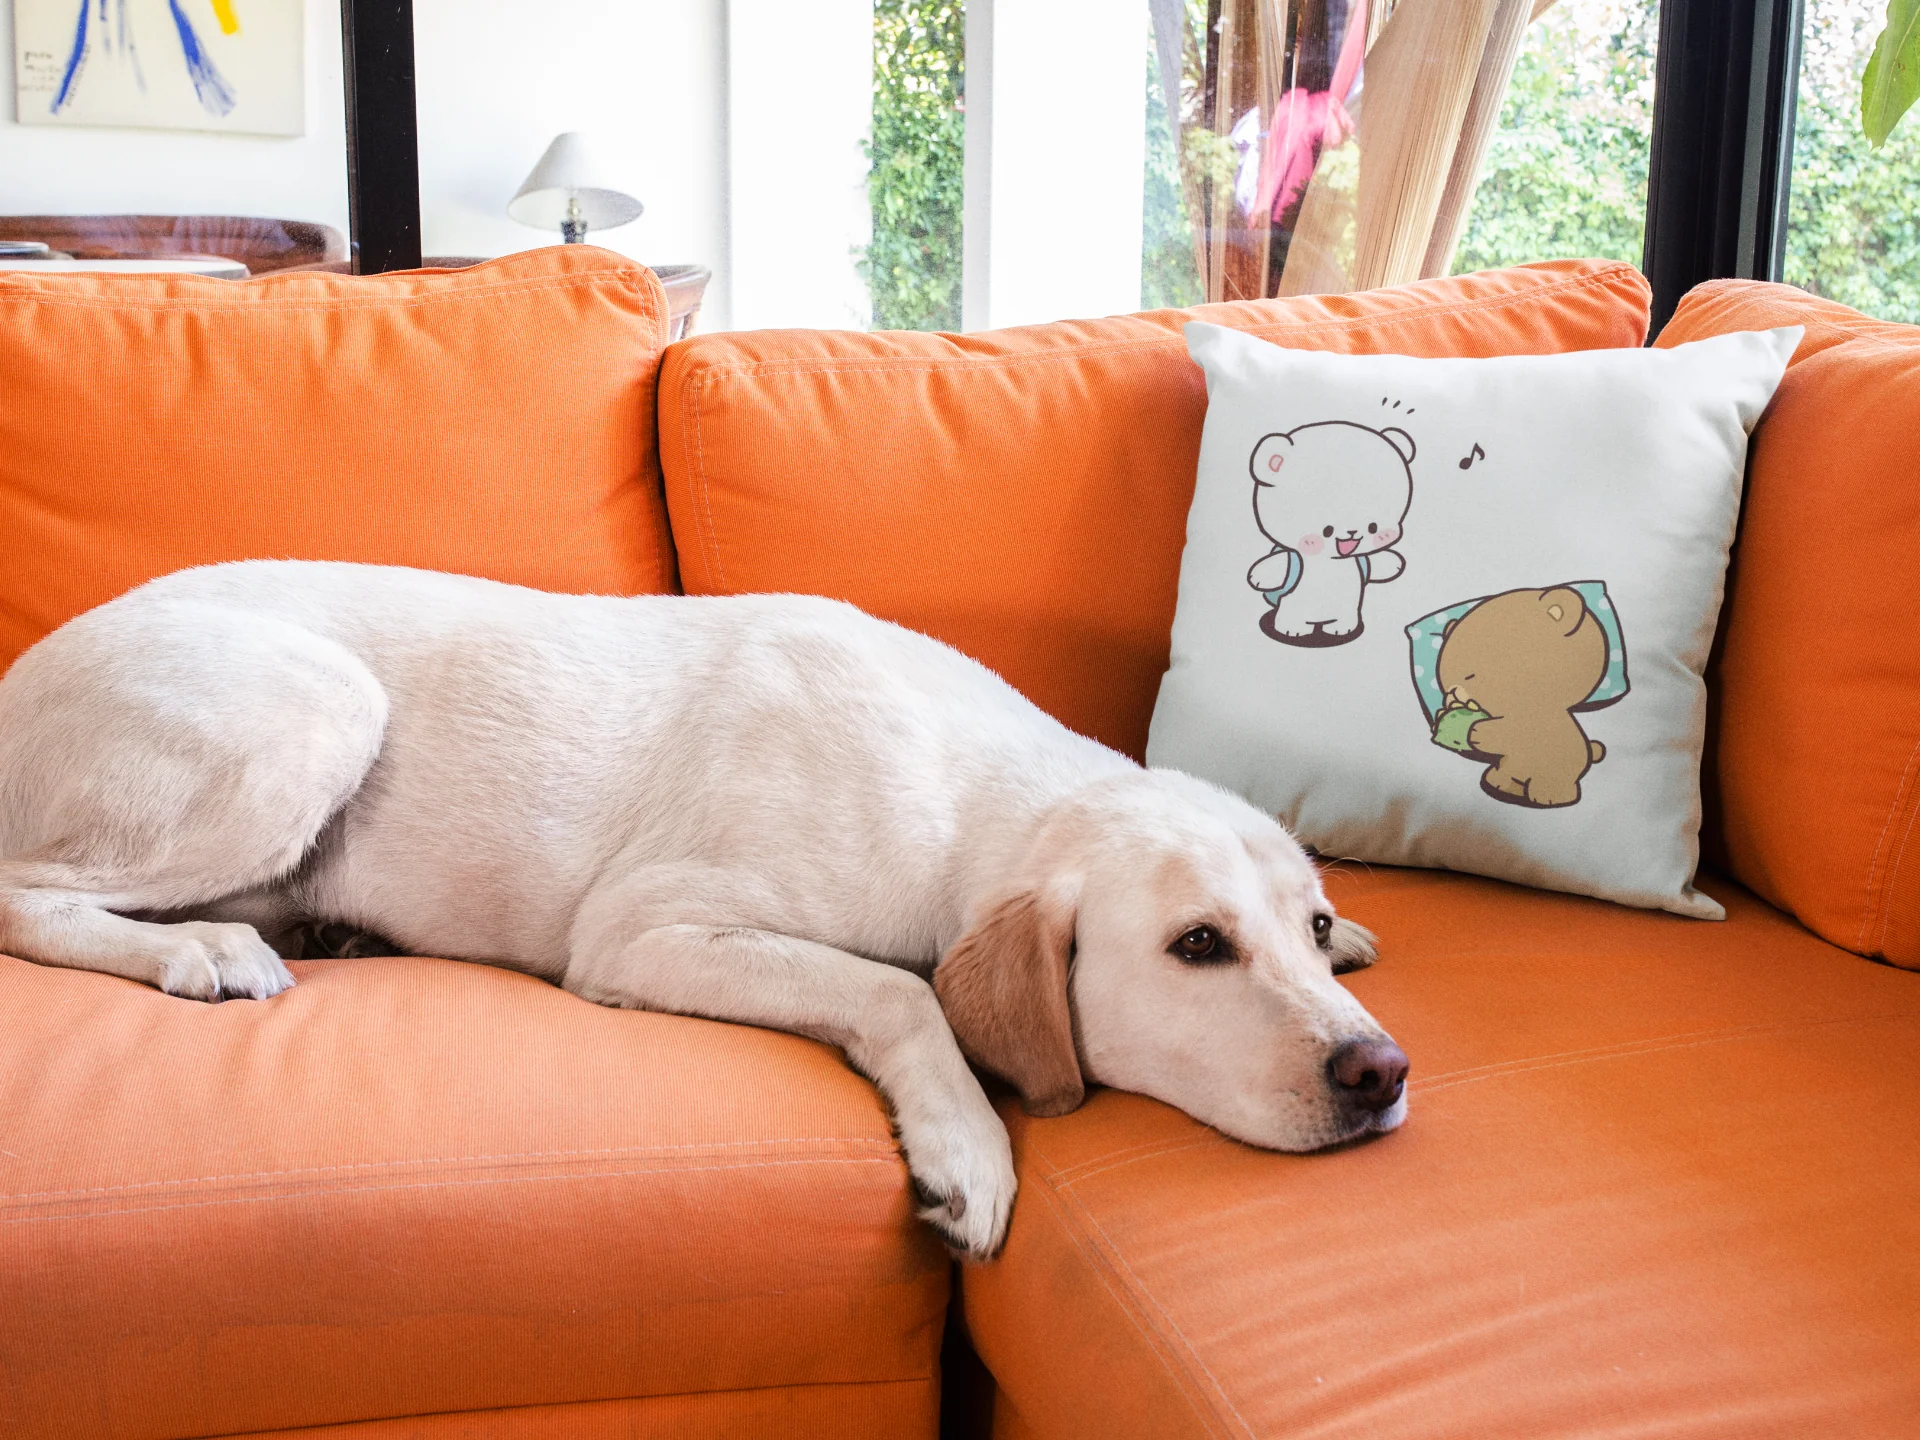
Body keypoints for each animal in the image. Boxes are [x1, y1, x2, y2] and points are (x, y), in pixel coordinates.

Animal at [1246, 420, 1415, 647]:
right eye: (1327, 530)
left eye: (1373, 527)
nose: (1352, 532)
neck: (1330, 563)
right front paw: (1256, 577)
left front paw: (1395, 562)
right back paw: (1293, 630)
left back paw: (1341, 629)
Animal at [1433, 585, 1611, 809]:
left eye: (1470, 675)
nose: (1454, 690)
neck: (1526, 707)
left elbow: (1504, 733)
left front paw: (1476, 731)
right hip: (1508, 768)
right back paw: (1499, 784)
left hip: (1558, 774)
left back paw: (1551, 798)